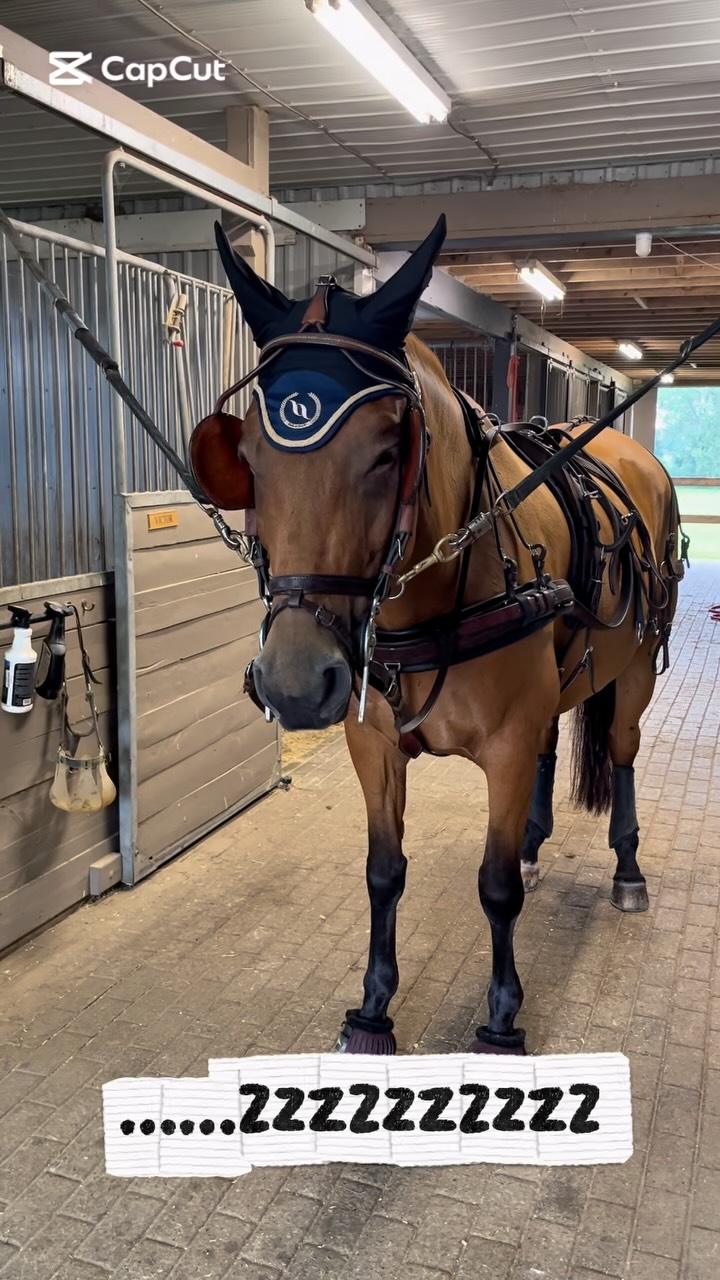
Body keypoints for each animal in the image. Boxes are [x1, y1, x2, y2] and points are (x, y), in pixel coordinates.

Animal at [190, 215, 683, 1056]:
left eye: (390, 451)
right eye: (246, 455)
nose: (296, 682)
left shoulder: (506, 745)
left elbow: (496, 888)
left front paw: (501, 1021)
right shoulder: (374, 743)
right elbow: (384, 872)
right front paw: (372, 1008)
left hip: (639, 667)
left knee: (620, 751)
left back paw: (626, 870)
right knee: (554, 747)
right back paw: (537, 842)